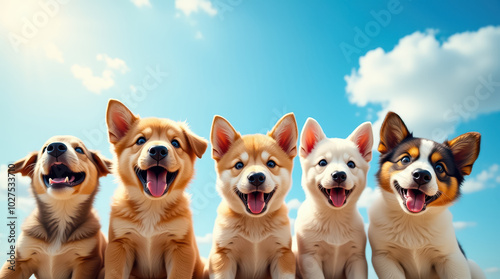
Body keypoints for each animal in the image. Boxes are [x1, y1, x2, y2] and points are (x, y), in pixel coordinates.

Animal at [0, 136, 111, 279]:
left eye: (79, 149)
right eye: (44, 149)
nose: (56, 147)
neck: (62, 211)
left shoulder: (86, 262)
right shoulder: (20, 259)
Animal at [104, 99, 208, 278]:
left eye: (175, 143)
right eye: (140, 141)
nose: (158, 150)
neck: (151, 205)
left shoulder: (180, 247)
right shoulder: (119, 245)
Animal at [206, 114, 296, 279]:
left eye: (271, 164)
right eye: (239, 165)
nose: (256, 177)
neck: (255, 223)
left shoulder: (283, 253)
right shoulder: (222, 254)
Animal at [294, 118, 374, 279]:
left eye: (351, 164)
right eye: (322, 162)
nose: (339, 175)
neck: (334, 218)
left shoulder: (357, 258)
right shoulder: (309, 258)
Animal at [368, 112, 484, 279]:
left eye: (439, 167)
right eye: (405, 159)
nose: (421, 175)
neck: (412, 220)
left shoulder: (452, 258)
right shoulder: (384, 257)